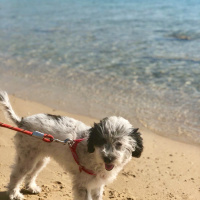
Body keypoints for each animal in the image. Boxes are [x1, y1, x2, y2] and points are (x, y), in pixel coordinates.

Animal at [0, 91, 144, 200]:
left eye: (119, 144)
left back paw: (31, 187)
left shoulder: (97, 184)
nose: (108, 158)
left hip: (40, 159)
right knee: (16, 175)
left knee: (32, 173)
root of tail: (22, 121)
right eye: (101, 141)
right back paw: (14, 194)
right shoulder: (82, 184)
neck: (93, 155)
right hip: (27, 158)